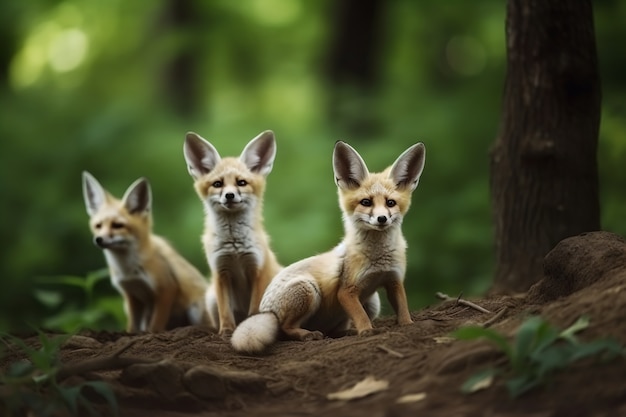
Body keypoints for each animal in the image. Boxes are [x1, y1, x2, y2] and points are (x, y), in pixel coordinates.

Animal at [81, 171, 208, 332]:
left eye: (118, 225)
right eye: (98, 226)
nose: (98, 239)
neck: (128, 270)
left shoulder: (166, 288)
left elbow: (155, 326)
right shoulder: (131, 294)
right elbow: (132, 327)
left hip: (195, 310)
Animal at [183, 130, 282, 334]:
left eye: (241, 183)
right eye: (217, 184)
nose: (229, 195)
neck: (234, 245)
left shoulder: (257, 269)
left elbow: (254, 310)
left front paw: (250, 327)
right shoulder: (220, 271)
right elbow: (225, 311)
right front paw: (227, 331)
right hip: (210, 298)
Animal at [232, 141, 426, 354]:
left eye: (391, 203)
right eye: (366, 202)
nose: (382, 219)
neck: (378, 259)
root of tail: (265, 310)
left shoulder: (393, 280)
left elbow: (403, 308)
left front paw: (408, 325)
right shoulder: (347, 290)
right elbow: (360, 316)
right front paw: (367, 331)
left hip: (371, 302)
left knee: (332, 332)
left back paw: (345, 332)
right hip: (308, 289)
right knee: (285, 329)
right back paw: (306, 334)